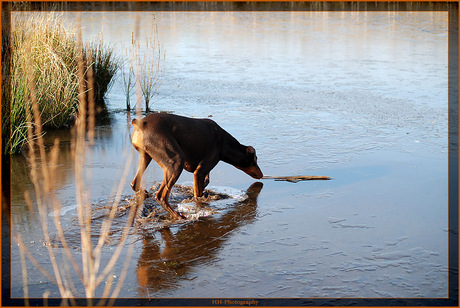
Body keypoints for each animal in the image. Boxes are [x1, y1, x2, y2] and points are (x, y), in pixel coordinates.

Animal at [131, 113, 264, 219]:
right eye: (256, 160)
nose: (262, 174)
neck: (224, 143)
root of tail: (140, 124)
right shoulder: (200, 172)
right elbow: (198, 194)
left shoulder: (201, 170)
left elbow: (205, 182)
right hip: (176, 162)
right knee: (161, 197)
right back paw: (178, 216)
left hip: (146, 157)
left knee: (134, 183)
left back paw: (144, 193)